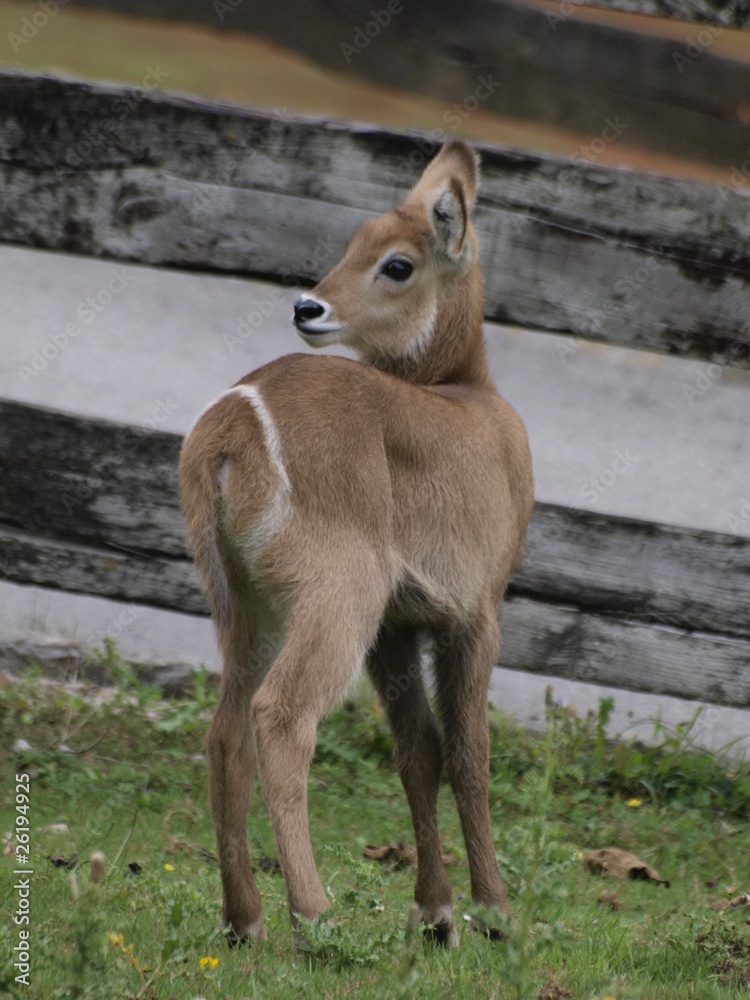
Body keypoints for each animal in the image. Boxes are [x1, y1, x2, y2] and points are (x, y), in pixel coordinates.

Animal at [180, 140, 534, 947]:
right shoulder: (476, 613)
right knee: (280, 716)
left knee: (224, 731)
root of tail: (229, 426)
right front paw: (493, 911)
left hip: (245, 602)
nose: (307, 306)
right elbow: (469, 753)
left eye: (395, 261)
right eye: (354, 245)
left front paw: (436, 912)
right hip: (338, 593)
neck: (471, 394)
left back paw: (244, 919)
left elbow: (418, 752)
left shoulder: (400, 625)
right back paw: (313, 916)